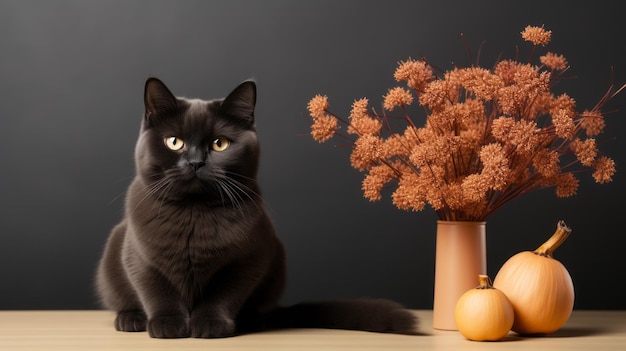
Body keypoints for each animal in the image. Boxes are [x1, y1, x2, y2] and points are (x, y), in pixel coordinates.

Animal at [94, 78, 414, 340]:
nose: (196, 162)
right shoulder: (139, 257)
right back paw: (130, 319)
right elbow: (155, 290)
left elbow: (224, 295)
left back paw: (249, 321)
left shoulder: (250, 259)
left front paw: (210, 325)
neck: (195, 213)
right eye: (175, 142)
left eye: (219, 144)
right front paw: (168, 324)